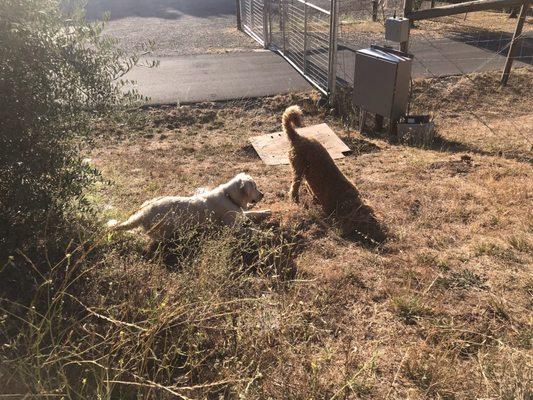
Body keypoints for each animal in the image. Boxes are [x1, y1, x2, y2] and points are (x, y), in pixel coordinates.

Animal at [106, 173, 270, 239]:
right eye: (255, 187)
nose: (262, 194)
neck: (229, 197)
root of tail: (143, 213)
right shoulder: (231, 228)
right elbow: (251, 230)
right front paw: (266, 233)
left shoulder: (240, 214)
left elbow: (252, 213)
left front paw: (266, 211)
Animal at [284, 105, 384, 244]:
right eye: (368, 224)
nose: (383, 238)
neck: (345, 199)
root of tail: (297, 136)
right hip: (298, 169)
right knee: (295, 187)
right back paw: (295, 199)